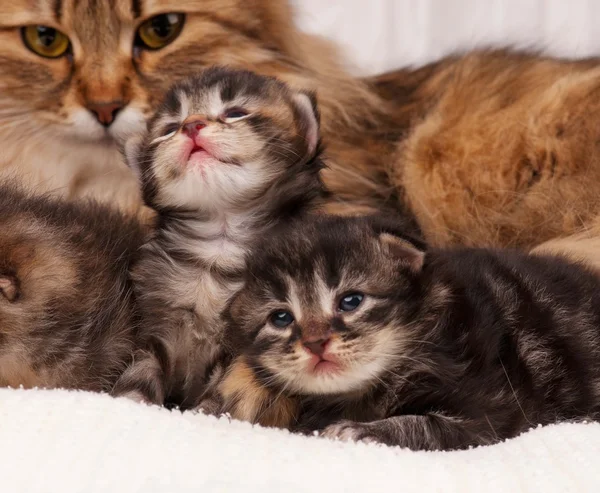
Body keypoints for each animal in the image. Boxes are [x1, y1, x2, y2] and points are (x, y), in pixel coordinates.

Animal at [114, 67, 326, 410]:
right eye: (169, 129)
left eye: (236, 113)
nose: (192, 125)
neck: (220, 243)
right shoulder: (157, 322)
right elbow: (143, 366)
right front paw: (130, 399)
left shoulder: (246, 347)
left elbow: (228, 388)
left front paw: (205, 412)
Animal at [223, 215, 600, 450]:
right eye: (281, 318)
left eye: (351, 301)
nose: (316, 343)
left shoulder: (495, 407)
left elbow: (427, 426)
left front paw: (360, 430)